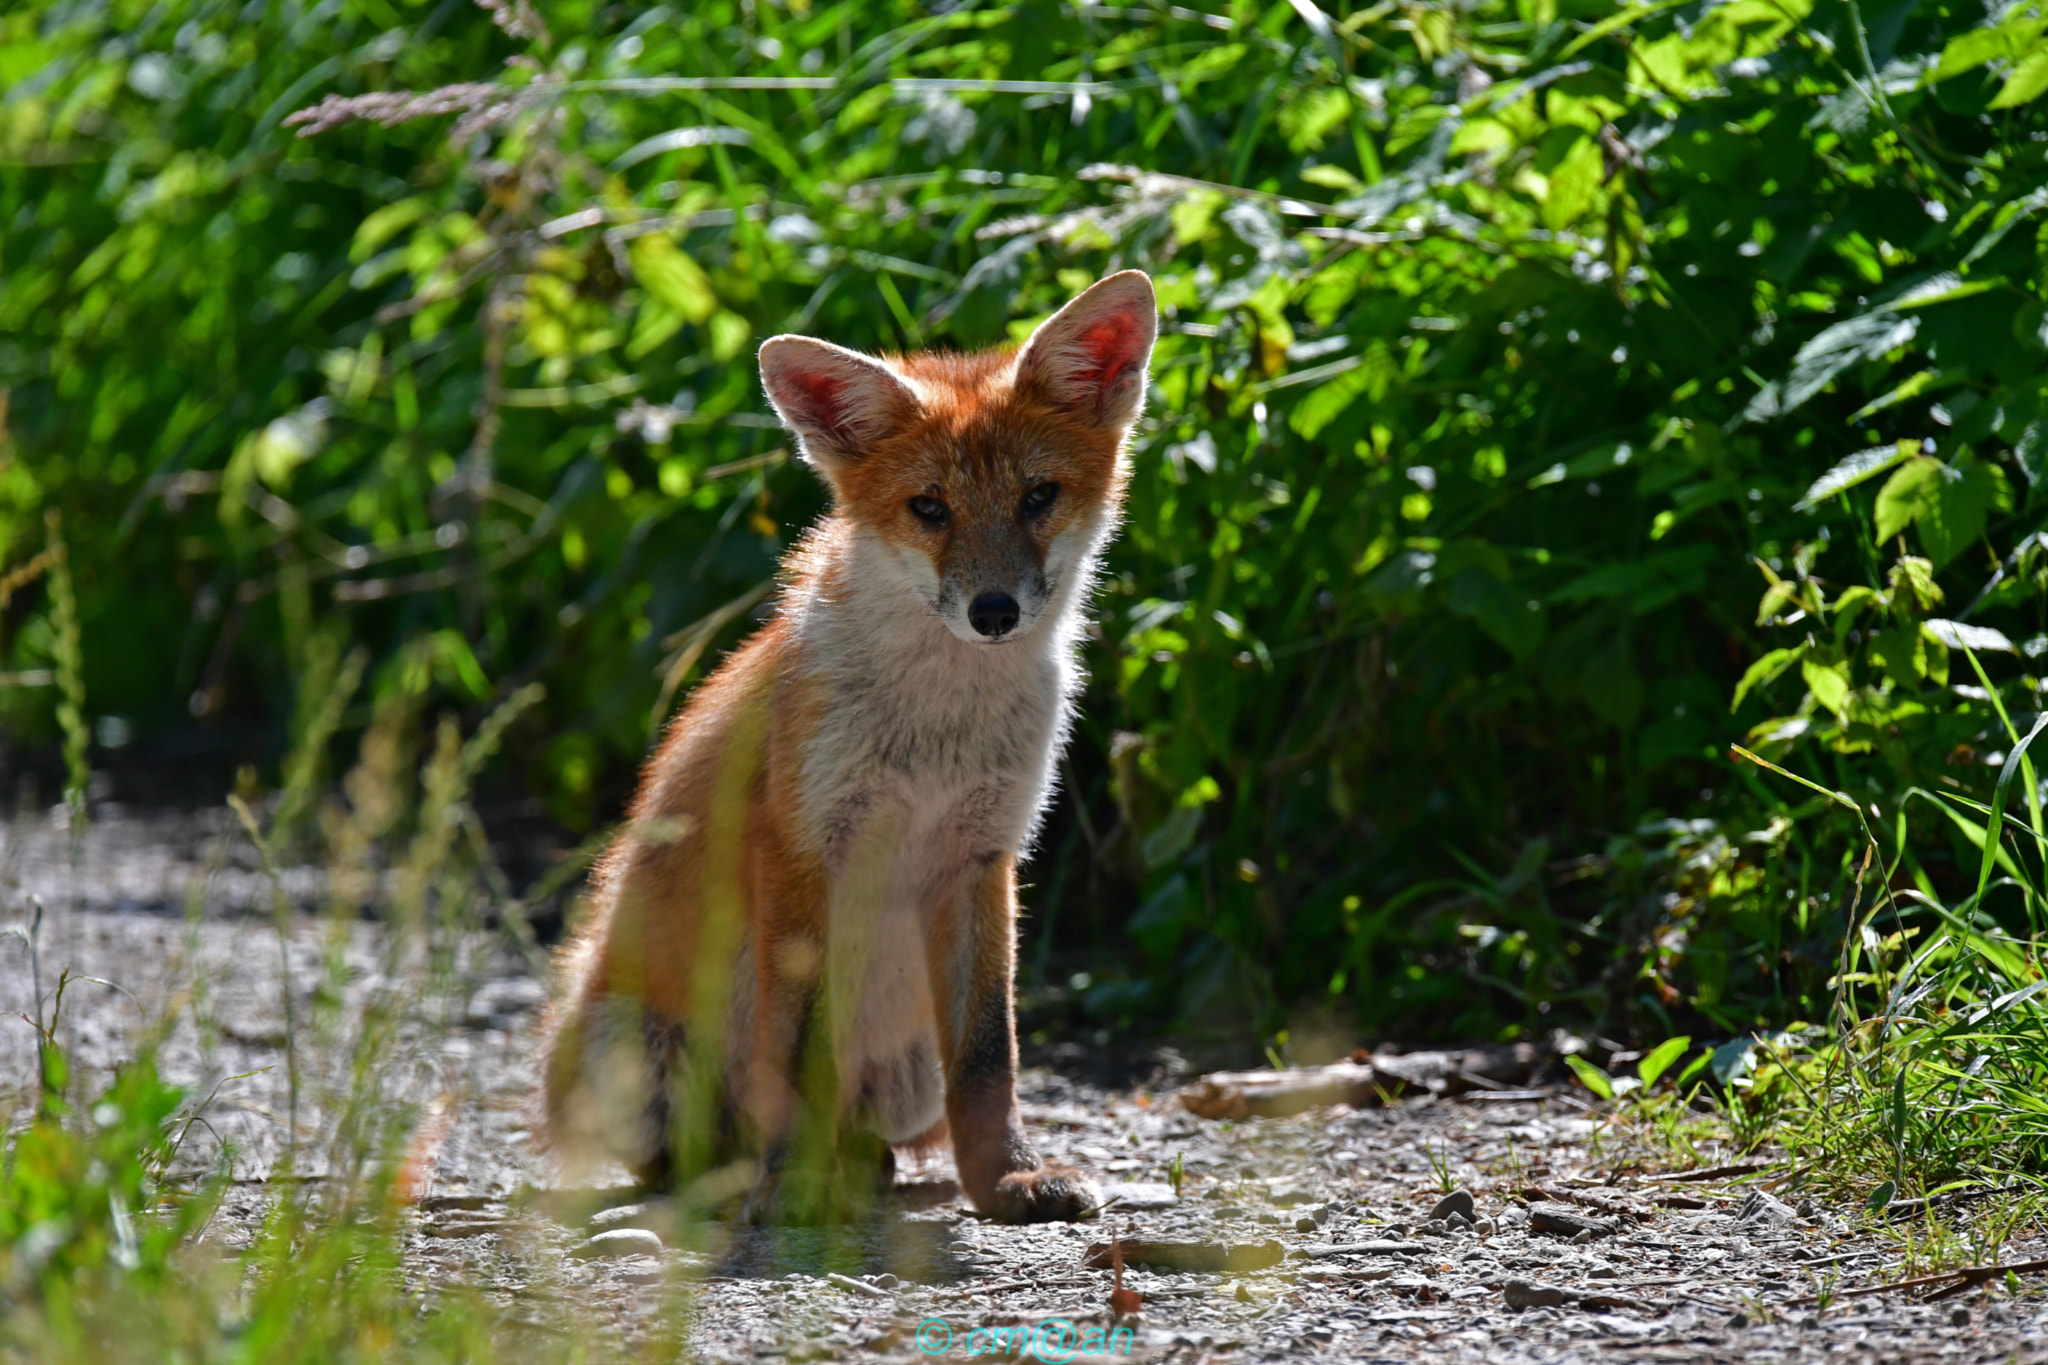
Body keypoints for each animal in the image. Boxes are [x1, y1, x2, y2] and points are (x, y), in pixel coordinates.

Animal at [537, 270, 1158, 1224]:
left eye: (1037, 496)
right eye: (929, 508)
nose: (993, 611)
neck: (936, 736)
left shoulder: (982, 853)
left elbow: (989, 1056)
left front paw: (1008, 1177)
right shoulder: (802, 848)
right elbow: (797, 1052)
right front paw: (794, 1186)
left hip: (905, 1073)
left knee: (872, 1120)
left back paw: (861, 1165)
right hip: (629, 1057)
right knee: (689, 1151)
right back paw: (748, 1178)